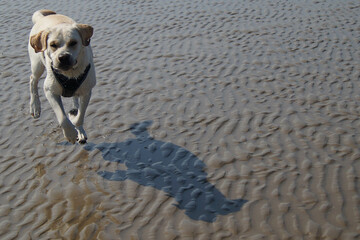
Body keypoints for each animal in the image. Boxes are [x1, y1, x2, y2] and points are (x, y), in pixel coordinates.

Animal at [28, 9, 95, 143]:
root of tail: (41, 18)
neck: (69, 74)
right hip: (37, 63)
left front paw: (76, 121)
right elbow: (62, 117)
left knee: (75, 99)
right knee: (33, 80)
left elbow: (80, 116)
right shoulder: (50, 91)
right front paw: (70, 134)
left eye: (73, 43)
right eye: (53, 44)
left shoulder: (86, 91)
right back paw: (35, 106)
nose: (63, 57)